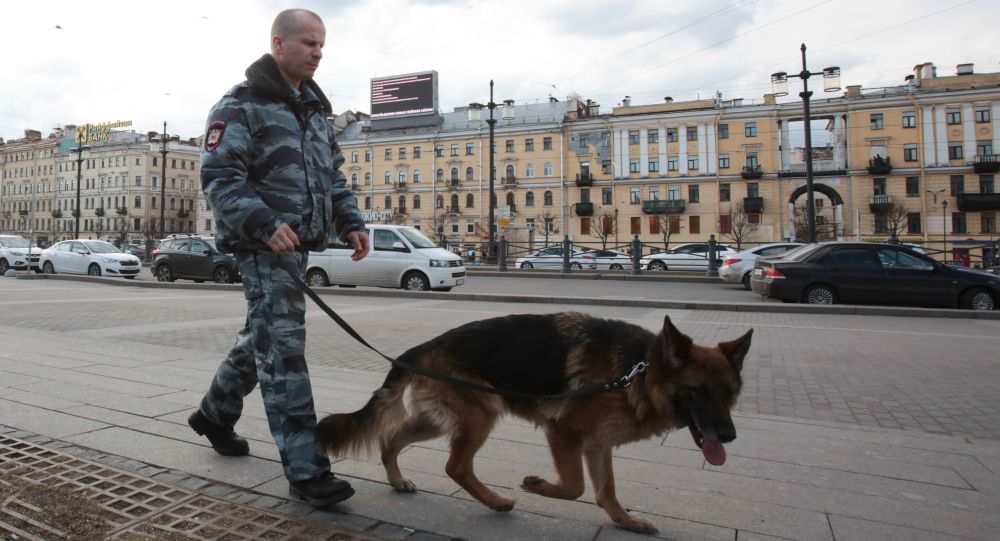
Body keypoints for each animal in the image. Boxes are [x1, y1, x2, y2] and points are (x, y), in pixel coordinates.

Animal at [318, 312, 752, 532]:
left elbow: (605, 490)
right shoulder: (563, 432)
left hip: (440, 420)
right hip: (479, 416)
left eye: (730, 392)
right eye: (699, 391)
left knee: (390, 438)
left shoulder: (598, 444)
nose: (729, 436)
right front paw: (537, 485)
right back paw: (495, 500)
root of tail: (425, 344)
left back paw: (397, 479)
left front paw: (624, 520)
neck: (639, 372)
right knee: (456, 466)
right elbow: (576, 488)